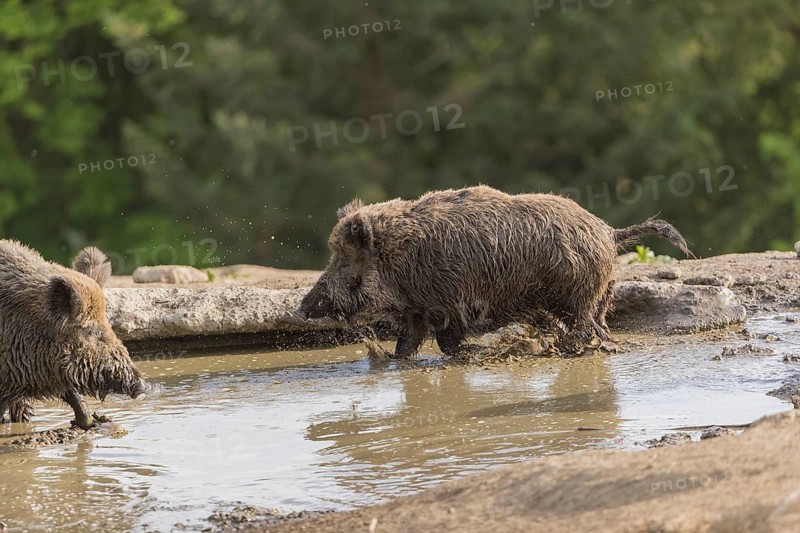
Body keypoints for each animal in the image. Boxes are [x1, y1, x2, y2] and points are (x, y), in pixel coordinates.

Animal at [296, 185, 693, 356]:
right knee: (597, 324)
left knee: (584, 327)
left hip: (576, 295)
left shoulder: (446, 302)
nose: (301, 308)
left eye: (345, 259)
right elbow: (408, 342)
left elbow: (447, 340)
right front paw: (393, 359)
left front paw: (470, 354)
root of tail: (609, 232)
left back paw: (567, 349)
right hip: (594, 294)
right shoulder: (418, 309)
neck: (400, 258)